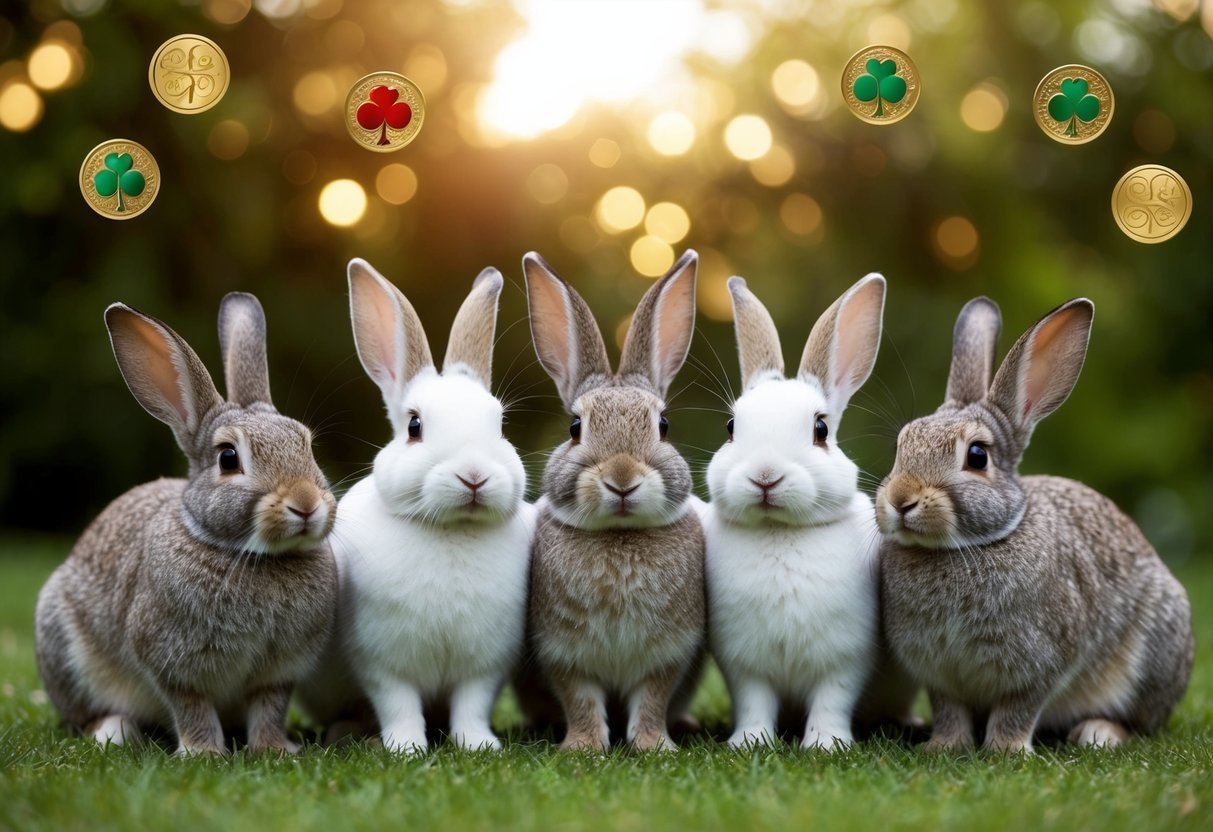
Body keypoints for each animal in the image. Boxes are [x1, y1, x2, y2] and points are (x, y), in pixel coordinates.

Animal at [34, 294, 338, 755]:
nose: (305, 504)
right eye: (228, 458)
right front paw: (203, 753)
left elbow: (269, 708)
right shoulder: (172, 663)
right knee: (83, 716)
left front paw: (274, 749)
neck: (253, 556)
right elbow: (191, 705)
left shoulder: (279, 673)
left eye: (306, 445)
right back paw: (113, 732)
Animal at [299, 259, 534, 754]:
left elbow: (472, 706)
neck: (450, 530)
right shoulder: (383, 664)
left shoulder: (484, 667)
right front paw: (406, 747)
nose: (473, 475)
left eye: (500, 425)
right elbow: (399, 705)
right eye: (414, 426)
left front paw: (479, 745)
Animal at [522, 249, 705, 753]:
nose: (622, 480)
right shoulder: (563, 654)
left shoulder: (669, 655)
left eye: (663, 425)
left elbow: (653, 700)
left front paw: (654, 746)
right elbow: (580, 700)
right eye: (574, 427)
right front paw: (583, 747)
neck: (619, 536)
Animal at [697, 273, 912, 751]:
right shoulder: (744, 666)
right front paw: (750, 742)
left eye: (820, 429)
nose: (765, 476)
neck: (781, 531)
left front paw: (825, 745)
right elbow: (754, 703)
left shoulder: (846, 659)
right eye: (731, 427)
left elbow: (833, 701)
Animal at [877, 296, 1194, 753]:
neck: (967, 545)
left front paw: (1006, 750)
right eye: (901, 444)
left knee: (1141, 721)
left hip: (1155, 656)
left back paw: (1098, 733)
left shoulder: (1041, 664)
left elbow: (1019, 708)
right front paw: (944, 746)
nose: (901, 499)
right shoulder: (940, 675)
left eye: (977, 456)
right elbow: (949, 710)